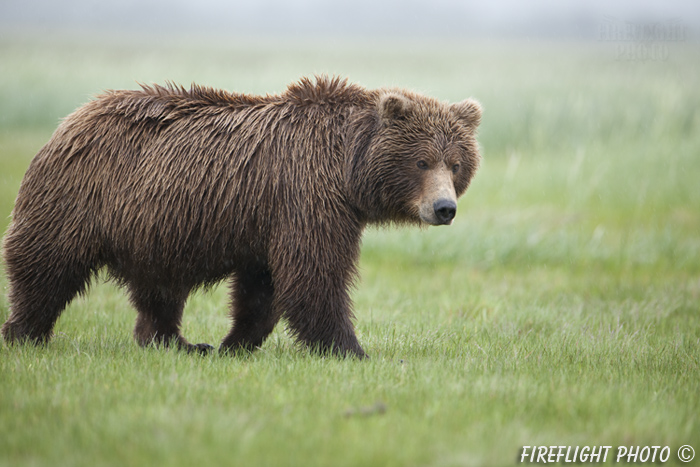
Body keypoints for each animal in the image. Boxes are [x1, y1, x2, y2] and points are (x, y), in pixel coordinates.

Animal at [1, 77, 482, 358]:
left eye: (456, 163)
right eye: (421, 161)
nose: (444, 208)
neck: (346, 168)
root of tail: (71, 118)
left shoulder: (269, 218)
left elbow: (262, 288)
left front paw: (233, 343)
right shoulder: (307, 197)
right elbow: (314, 275)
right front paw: (351, 349)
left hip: (153, 226)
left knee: (160, 288)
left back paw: (177, 341)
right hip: (80, 196)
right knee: (46, 265)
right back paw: (23, 333)